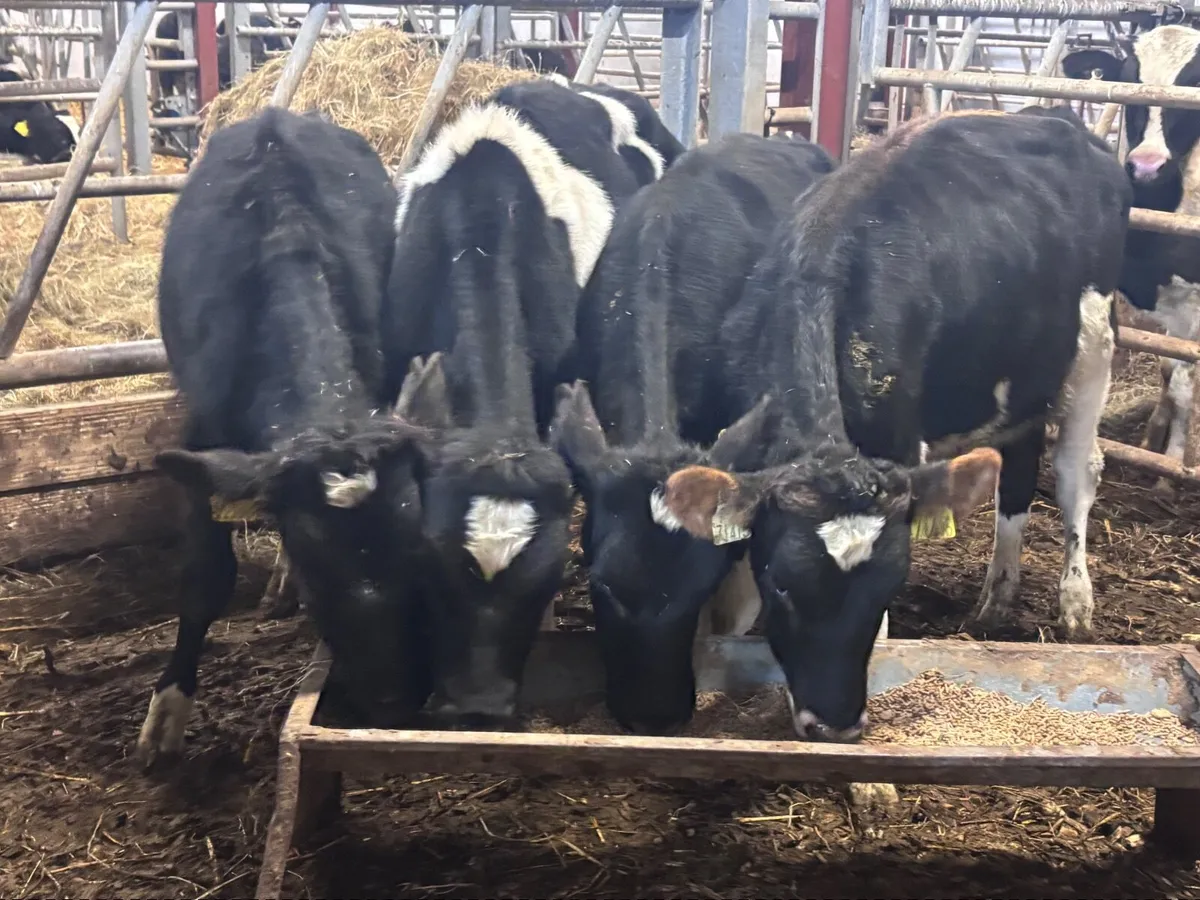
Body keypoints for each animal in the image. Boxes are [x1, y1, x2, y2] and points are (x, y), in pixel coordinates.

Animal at [136, 108, 432, 764]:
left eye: (418, 552)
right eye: (320, 572)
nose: (394, 703)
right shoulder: (202, 437)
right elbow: (205, 579)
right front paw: (168, 709)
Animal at [655, 112, 1129, 764]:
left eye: (890, 589)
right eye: (783, 584)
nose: (835, 727)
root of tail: (1061, 122)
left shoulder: (901, 447)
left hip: (1092, 346)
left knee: (1074, 473)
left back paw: (1075, 605)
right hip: (1019, 377)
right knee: (1017, 471)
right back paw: (995, 600)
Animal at [1061, 26, 1200, 475]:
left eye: (1194, 83)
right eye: (1129, 81)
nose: (1146, 166)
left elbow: (1184, 382)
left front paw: (1173, 465)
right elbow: (1169, 371)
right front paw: (1155, 439)